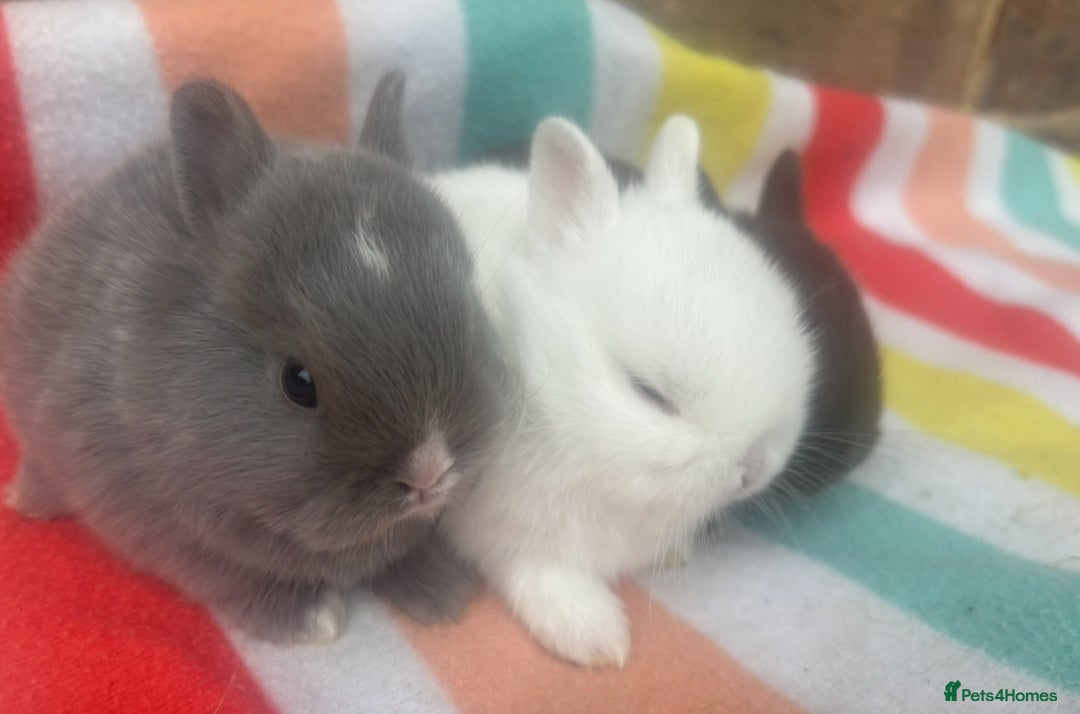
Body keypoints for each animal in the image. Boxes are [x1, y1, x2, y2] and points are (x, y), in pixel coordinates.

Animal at [0, 72, 503, 644]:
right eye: (298, 382)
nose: (428, 473)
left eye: (470, 322)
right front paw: (313, 619)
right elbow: (238, 581)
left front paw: (444, 593)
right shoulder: (179, 536)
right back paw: (25, 502)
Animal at [429, 116, 816, 667]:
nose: (751, 470)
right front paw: (597, 640)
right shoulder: (508, 531)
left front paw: (673, 553)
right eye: (650, 393)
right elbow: (543, 576)